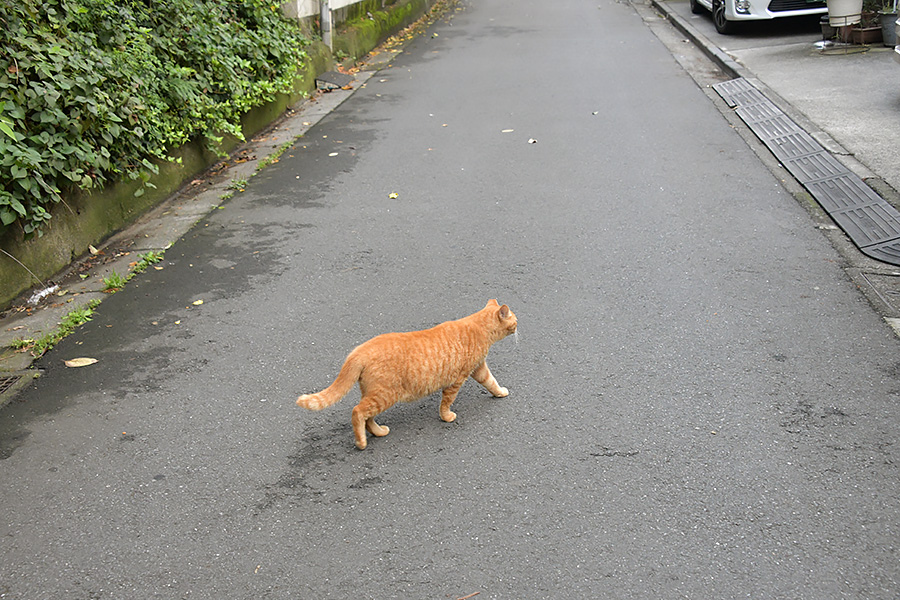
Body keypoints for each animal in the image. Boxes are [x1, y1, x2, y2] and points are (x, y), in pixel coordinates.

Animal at [298, 300, 516, 450]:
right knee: (357, 412)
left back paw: (379, 432)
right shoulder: (457, 379)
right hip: (384, 395)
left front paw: (500, 392)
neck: (477, 326)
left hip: (375, 395)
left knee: (368, 417)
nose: (518, 326)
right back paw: (361, 443)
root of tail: (359, 350)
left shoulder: (479, 369)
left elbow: (491, 382)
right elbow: (446, 402)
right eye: (515, 320)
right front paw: (447, 417)